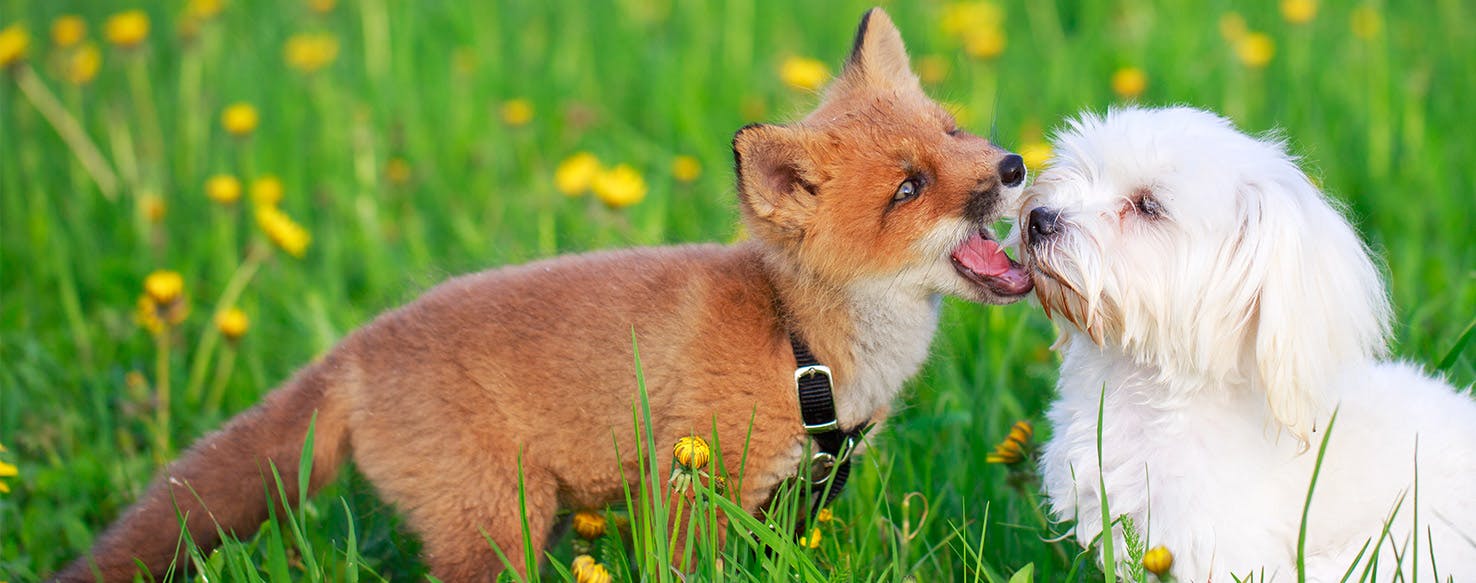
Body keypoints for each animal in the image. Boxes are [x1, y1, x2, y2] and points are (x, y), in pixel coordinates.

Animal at [54, 6, 1027, 581]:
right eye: (907, 188)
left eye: (953, 134)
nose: (1015, 165)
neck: (802, 345)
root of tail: (354, 348)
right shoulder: (687, 479)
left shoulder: (790, 495)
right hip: (499, 531)